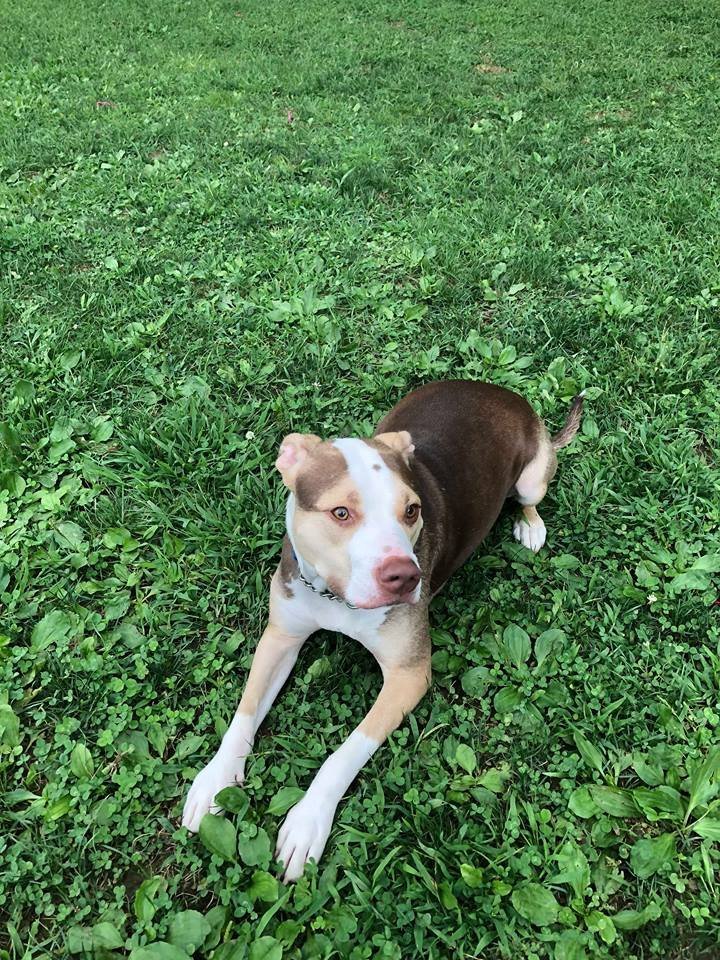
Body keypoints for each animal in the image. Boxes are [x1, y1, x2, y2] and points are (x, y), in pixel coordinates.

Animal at [183, 378, 584, 880]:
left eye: (412, 511)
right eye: (340, 513)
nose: (405, 577)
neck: (335, 597)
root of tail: (503, 393)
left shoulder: (409, 675)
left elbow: (347, 751)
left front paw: (308, 820)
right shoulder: (281, 636)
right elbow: (245, 710)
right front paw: (215, 777)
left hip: (532, 478)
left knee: (530, 500)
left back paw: (530, 527)